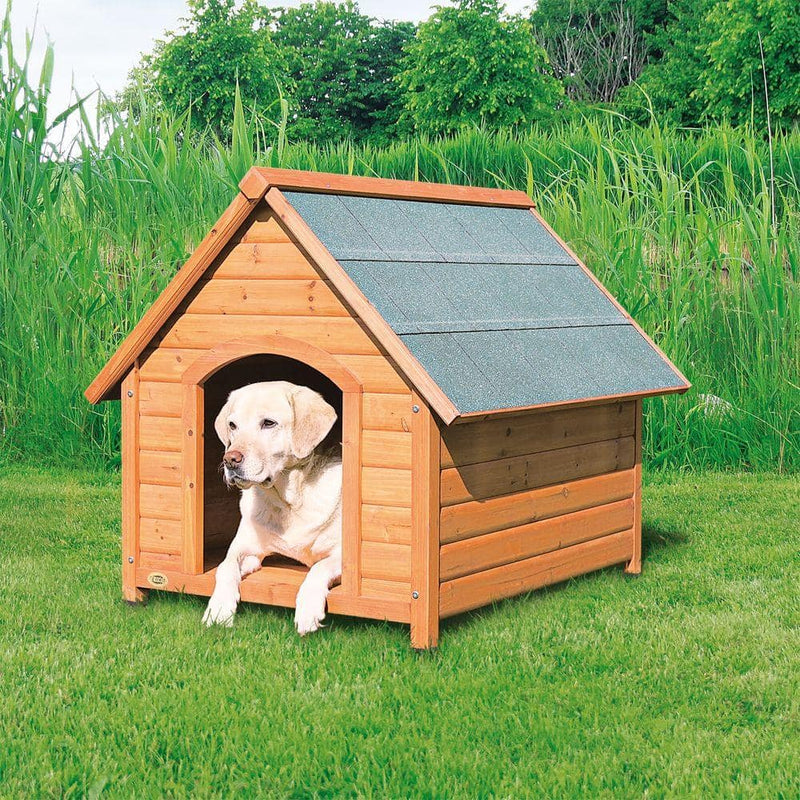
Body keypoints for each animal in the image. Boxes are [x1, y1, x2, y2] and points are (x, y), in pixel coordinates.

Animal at [202, 382, 342, 636]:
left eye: (268, 423)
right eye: (232, 425)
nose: (230, 459)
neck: (290, 501)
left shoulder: (343, 555)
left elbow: (319, 567)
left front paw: (308, 611)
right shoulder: (245, 549)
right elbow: (224, 568)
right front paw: (218, 609)